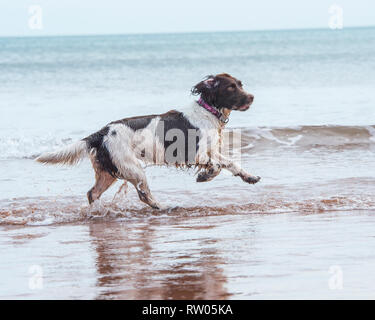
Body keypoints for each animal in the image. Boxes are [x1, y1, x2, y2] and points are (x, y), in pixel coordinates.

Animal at [37, 74, 262, 210]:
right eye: (231, 87)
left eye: (240, 84)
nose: (252, 97)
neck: (207, 111)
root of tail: (101, 133)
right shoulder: (193, 153)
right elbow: (216, 166)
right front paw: (204, 176)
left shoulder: (211, 151)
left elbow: (231, 163)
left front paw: (249, 177)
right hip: (133, 168)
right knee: (143, 195)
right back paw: (163, 207)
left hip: (110, 171)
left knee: (93, 193)